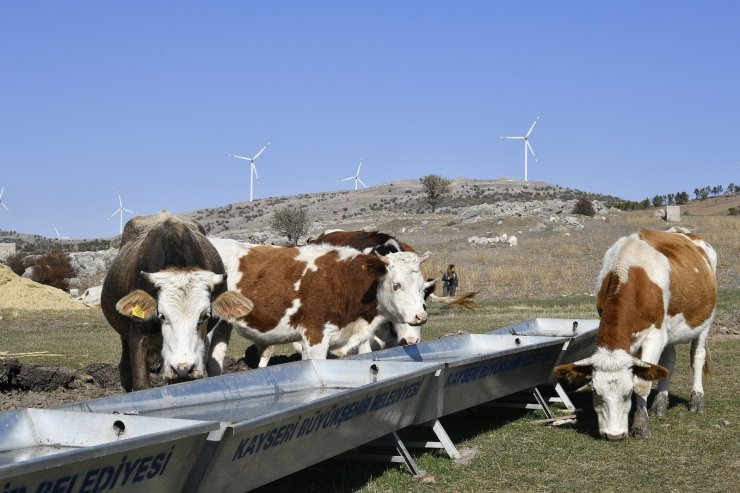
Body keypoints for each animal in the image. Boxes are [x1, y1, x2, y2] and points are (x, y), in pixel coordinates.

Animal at [100, 213, 254, 390]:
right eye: (162, 315)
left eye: (205, 316)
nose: (183, 368)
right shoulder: (138, 338)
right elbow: (141, 385)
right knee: (125, 368)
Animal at [556, 227, 716, 438]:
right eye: (596, 393)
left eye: (628, 393)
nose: (613, 435)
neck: (630, 270)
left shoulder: (655, 336)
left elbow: (643, 383)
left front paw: (641, 425)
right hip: (669, 332)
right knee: (669, 362)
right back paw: (660, 404)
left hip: (705, 321)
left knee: (697, 357)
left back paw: (697, 400)